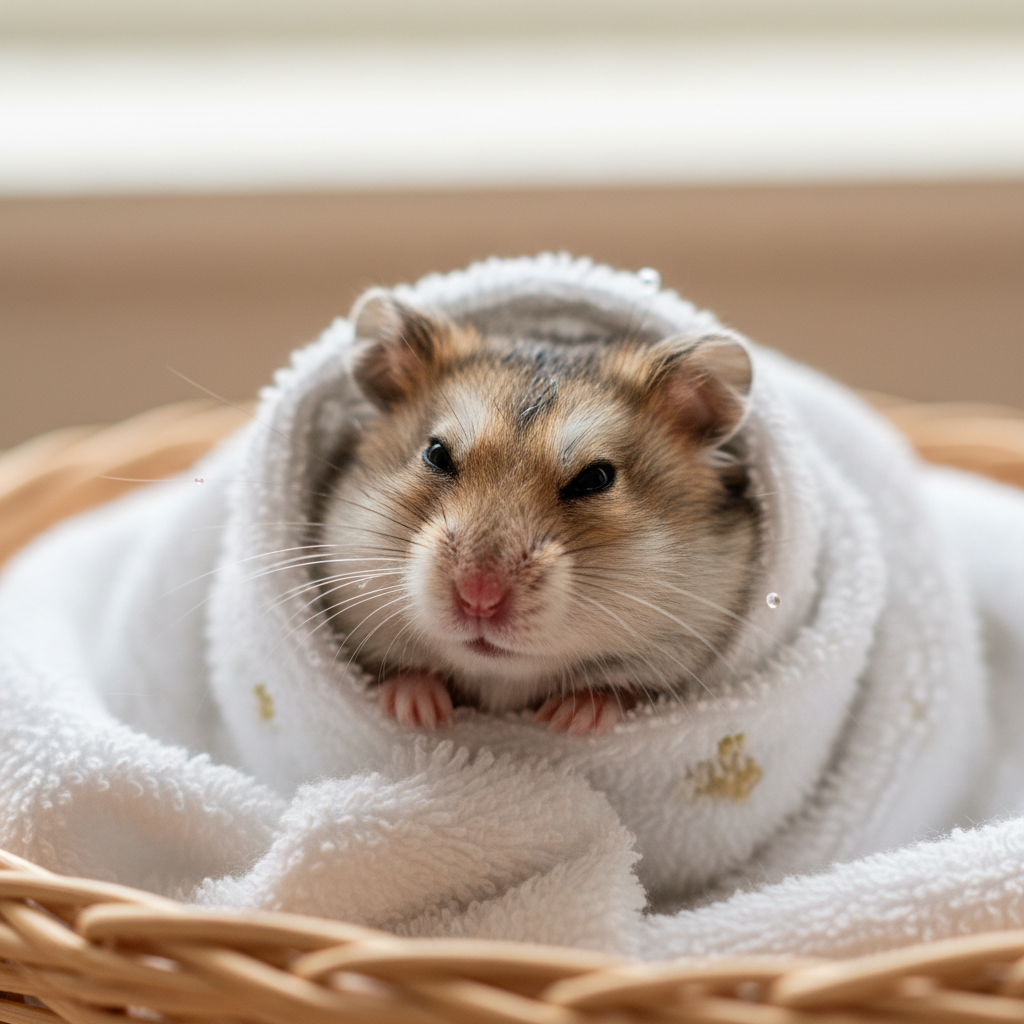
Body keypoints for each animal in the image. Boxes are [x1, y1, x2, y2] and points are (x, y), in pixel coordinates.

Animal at [314, 290, 759, 735]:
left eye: (595, 478)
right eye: (436, 454)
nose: (479, 598)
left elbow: (619, 687)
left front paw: (571, 720)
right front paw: (417, 711)